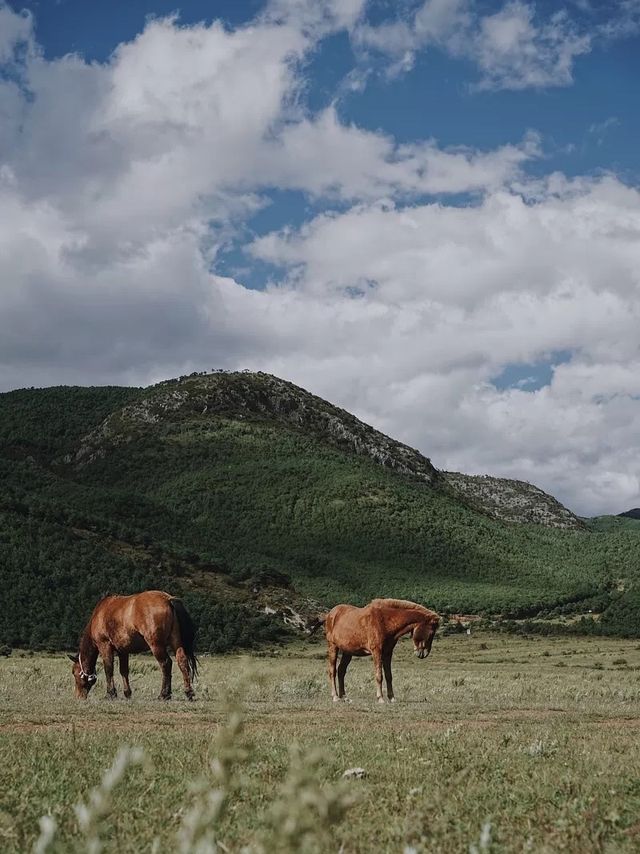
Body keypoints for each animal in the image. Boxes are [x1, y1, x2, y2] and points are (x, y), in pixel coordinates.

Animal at [67, 592, 198, 704]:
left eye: (74, 672)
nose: (78, 696)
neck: (100, 614)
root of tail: (168, 599)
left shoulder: (104, 646)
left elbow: (108, 669)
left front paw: (111, 694)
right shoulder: (123, 651)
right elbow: (124, 671)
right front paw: (127, 693)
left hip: (156, 645)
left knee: (166, 663)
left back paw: (164, 694)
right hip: (176, 642)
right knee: (182, 661)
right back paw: (188, 692)